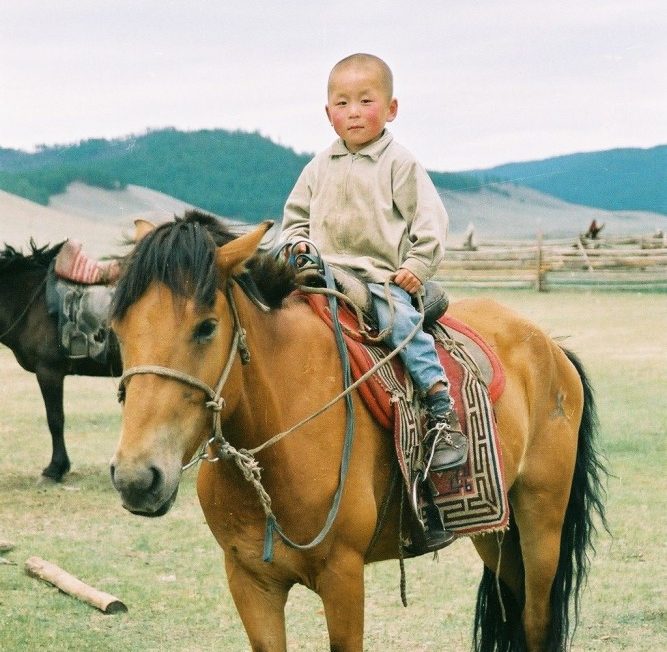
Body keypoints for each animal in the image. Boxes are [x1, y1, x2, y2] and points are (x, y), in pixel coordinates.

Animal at [107, 213, 608, 648]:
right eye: (117, 328)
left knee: (536, 620)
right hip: (493, 531)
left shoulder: (342, 576)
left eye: (207, 327)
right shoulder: (249, 580)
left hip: (541, 522)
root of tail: (552, 347)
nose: (137, 477)